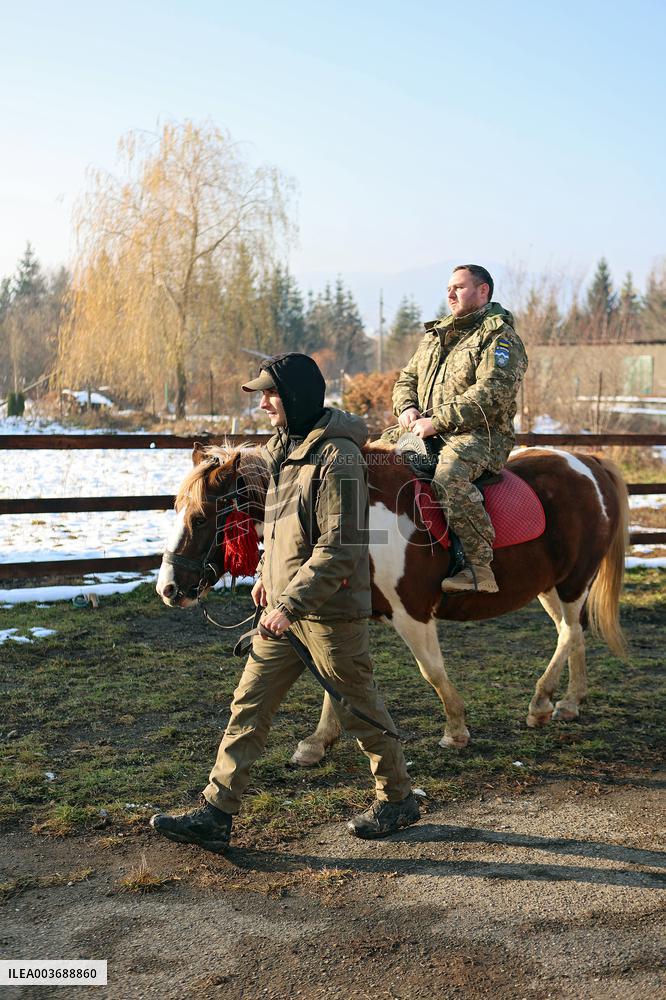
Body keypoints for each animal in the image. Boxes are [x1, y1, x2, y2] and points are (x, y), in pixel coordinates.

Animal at [156, 441, 629, 766]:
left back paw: (541, 703)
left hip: (572, 583)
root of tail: (589, 463)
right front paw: (318, 742)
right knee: (574, 635)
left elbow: (431, 672)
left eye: (201, 517)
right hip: (550, 588)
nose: (168, 588)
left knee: (569, 633)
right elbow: (333, 679)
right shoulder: (343, 610)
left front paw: (456, 730)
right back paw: (567, 702)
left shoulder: (412, 613)